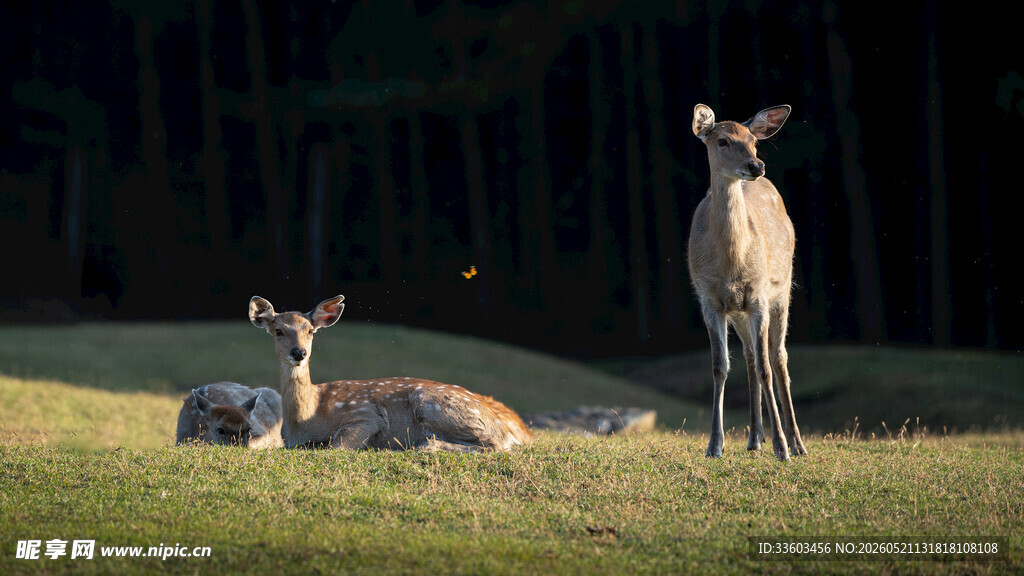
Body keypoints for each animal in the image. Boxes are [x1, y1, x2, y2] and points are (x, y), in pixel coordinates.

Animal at [248, 294, 533, 451]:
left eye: (310, 330)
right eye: (278, 331)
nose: (299, 353)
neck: (307, 418)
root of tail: (507, 430)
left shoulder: (365, 412)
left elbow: (337, 445)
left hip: (432, 401)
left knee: (496, 445)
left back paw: (424, 446)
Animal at [687, 103, 808, 462]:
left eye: (754, 141)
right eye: (722, 141)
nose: (757, 165)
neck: (732, 265)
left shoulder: (758, 297)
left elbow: (768, 368)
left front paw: (782, 448)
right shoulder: (710, 300)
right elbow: (720, 366)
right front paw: (714, 445)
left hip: (782, 292)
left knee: (778, 358)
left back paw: (796, 443)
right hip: (738, 312)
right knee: (752, 358)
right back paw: (755, 438)